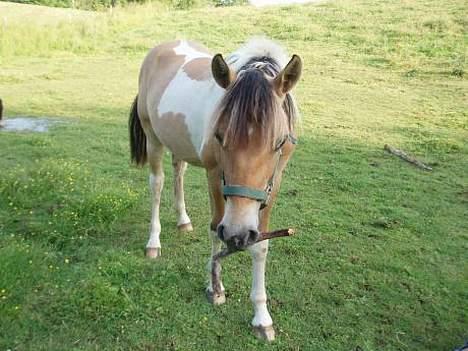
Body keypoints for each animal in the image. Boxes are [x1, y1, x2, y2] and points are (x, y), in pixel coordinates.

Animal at [130, 37, 302, 340]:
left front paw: (262, 317)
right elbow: (214, 228)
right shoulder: (213, 173)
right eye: (220, 136)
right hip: (153, 139)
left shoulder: (275, 181)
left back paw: (183, 221)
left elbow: (261, 245)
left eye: (280, 143)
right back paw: (153, 242)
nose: (238, 233)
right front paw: (215, 288)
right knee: (157, 184)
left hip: (178, 145)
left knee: (178, 173)